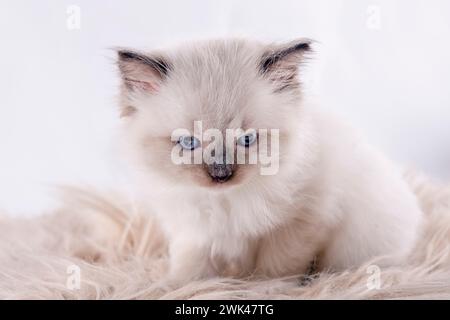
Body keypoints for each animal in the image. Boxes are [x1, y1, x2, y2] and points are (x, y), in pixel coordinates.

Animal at [115, 38, 422, 282]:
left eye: (247, 139)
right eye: (189, 143)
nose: (221, 174)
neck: (226, 201)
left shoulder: (299, 222)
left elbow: (275, 270)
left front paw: (264, 288)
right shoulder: (195, 231)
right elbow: (192, 270)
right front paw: (180, 287)